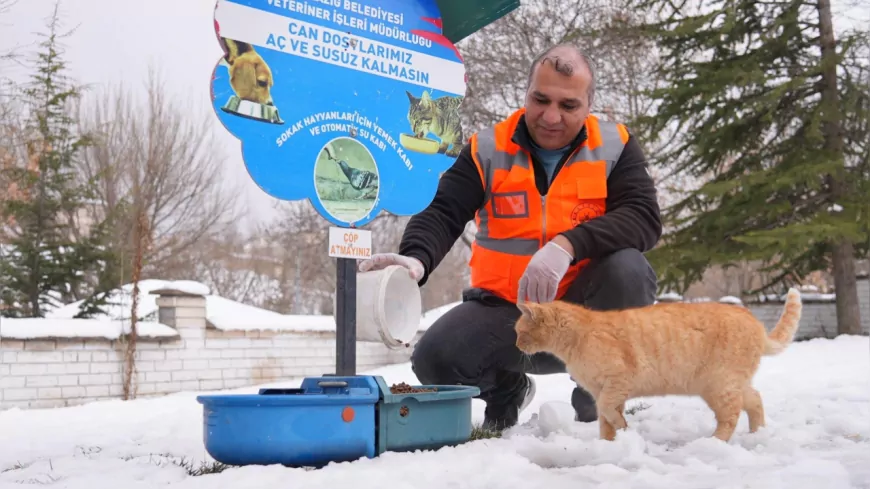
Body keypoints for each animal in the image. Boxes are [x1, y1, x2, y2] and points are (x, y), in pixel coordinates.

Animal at [516, 288, 804, 440]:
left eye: (520, 332)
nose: (517, 345)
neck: (580, 334)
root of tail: (754, 321)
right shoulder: (602, 391)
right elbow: (605, 420)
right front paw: (609, 444)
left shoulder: (616, 383)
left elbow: (608, 410)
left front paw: (622, 428)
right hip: (733, 384)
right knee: (755, 400)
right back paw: (757, 432)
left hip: (720, 386)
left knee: (731, 416)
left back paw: (715, 442)